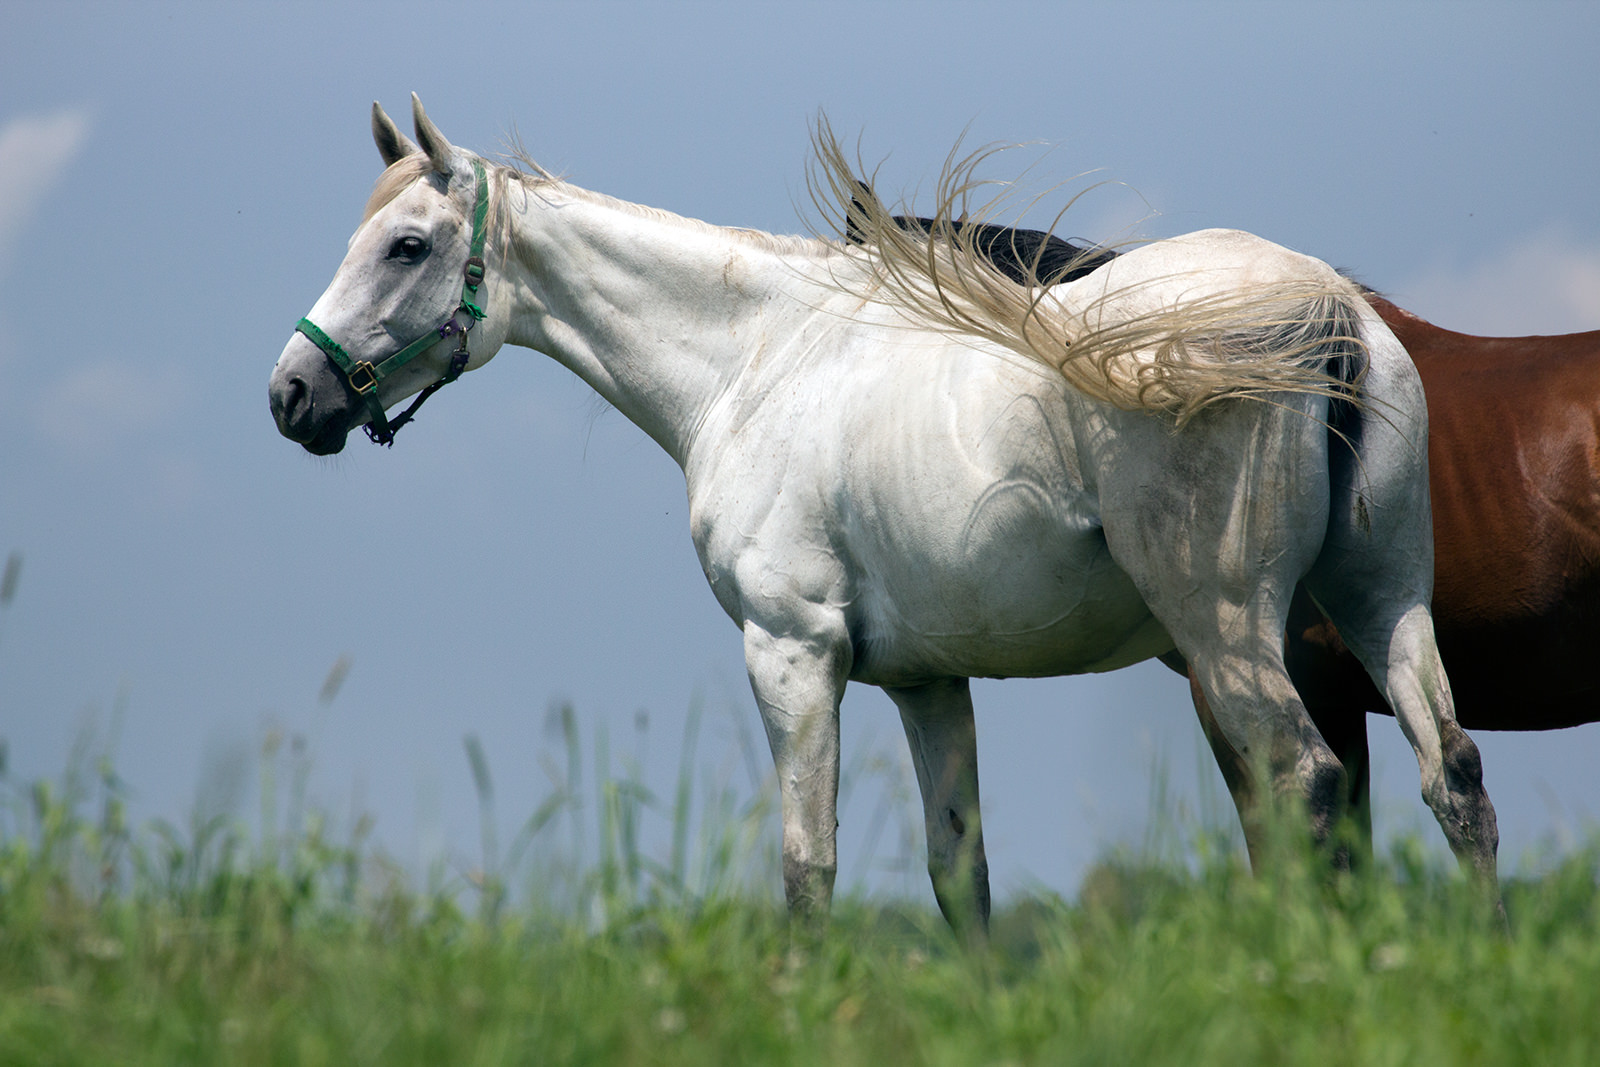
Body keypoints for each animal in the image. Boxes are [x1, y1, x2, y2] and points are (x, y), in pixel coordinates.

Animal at [265, 95, 1497, 927]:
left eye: (407, 246)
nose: (292, 393)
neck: (758, 357)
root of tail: (1330, 307)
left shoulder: (792, 655)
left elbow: (808, 866)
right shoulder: (926, 682)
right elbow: (961, 874)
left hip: (1228, 633)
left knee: (1304, 784)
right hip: (1384, 604)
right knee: (1454, 778)